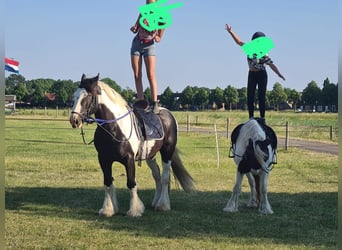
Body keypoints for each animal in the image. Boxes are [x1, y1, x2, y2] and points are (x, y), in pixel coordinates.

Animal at [69, 73, 195, 217]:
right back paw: (156, 201)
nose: (74, 120)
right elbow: (107, 182)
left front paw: (135, 210)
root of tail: (168, 114)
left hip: (167, 152)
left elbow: (131, 183)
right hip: (150, 156)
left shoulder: (128, 159)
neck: (114, 128)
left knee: (164, 177)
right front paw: (108, 209)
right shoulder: (104, 159)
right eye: (75, 96)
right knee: (157, 176)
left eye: (88, 96)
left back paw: (163, 205)